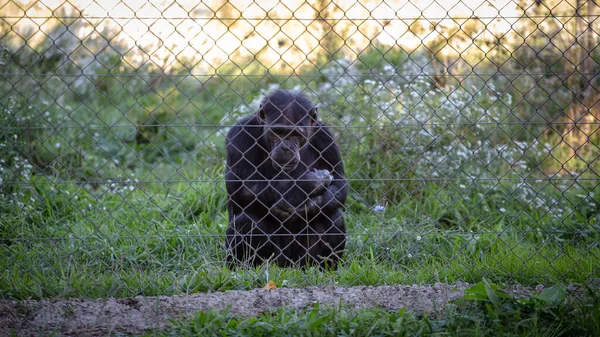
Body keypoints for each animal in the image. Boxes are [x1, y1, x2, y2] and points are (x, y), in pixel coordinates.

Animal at [225, 89, 346, 268]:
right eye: (278, 132)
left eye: (296, 134)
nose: (286, 147)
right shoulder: (240, 134)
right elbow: (242, 187)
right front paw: (310, 182)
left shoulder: (326, 136)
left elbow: (339, 184)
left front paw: (306, 206)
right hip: (273, 260)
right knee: (248, 220)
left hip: (301, 261)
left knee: (332, 217)